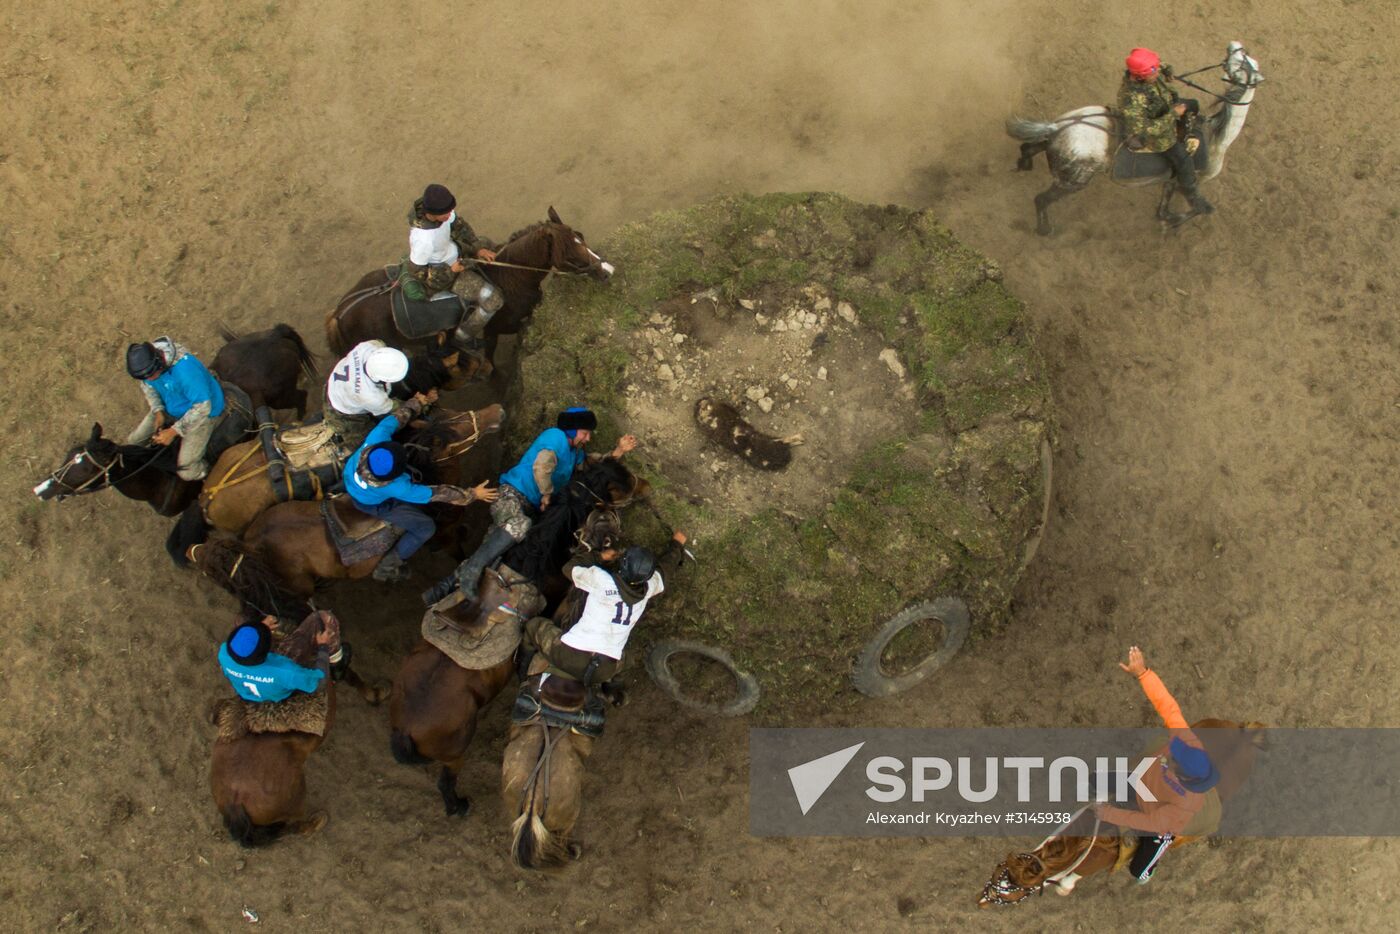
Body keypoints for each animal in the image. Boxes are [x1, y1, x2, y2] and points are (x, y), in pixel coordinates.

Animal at [330, 205, 616, 364]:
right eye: (569, 255)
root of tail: (340, 313)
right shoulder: (496, 329)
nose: (607, 271)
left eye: (581, 236)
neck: (509, 277)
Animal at [389, 459, 641, 817]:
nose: (640, 482)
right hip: (456, 753)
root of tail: (405, 729)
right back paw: (459, 805)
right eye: (617, 485)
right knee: (446, 782)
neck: (535, 559)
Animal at [1002, 41, 1265, 233]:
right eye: (1244, 61)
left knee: (1030, 147)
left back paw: (1023, 164)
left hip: (1056, 150)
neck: (1216, 138)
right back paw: (1045, 229)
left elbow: (1163, 208)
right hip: (1072, 181)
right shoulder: (1188, 179)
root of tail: (1060, 126)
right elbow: (1194, 208)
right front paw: (1174, 222)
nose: (1235, 45)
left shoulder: (1171, 181)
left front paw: (1168, 218)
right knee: (1041, 199)